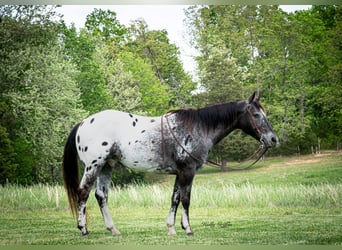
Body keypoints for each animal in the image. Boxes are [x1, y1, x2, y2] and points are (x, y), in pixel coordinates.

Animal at [62, 91, 280, 236]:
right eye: (257, 115)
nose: (273, 139)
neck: (199, 127)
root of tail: (83, 122)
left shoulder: (179, 173)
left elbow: (174, 199)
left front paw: (172, 228)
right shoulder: (188, 172)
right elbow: (185, 199)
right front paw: (188, 229)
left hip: (106, 166)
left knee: (101, 196)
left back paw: (113, 229)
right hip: (93, 166)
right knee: (83, 193)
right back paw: (83, 229)